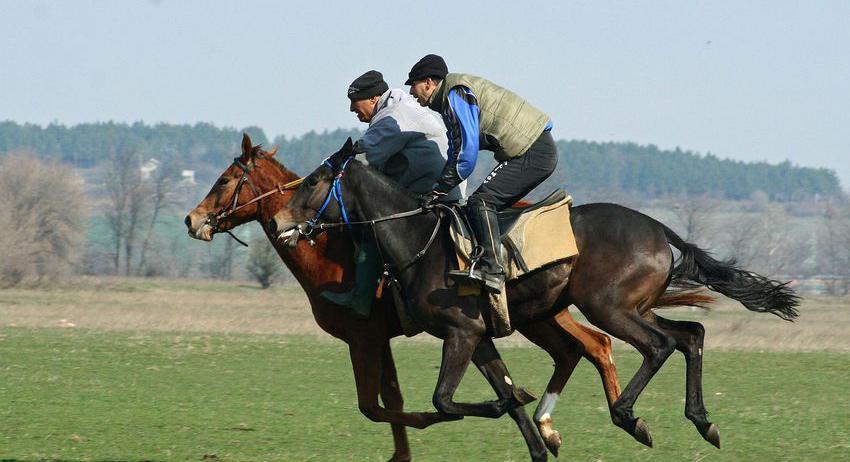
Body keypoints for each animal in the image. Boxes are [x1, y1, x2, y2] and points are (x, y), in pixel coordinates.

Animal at [184, 134, 636, 458]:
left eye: (225, 180)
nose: (191, 220)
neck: (331, 249)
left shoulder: (364, 337)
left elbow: (375, 405)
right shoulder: (379, 338)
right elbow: (389, 399)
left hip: (542, 314)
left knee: (592, 344)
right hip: (538, 316)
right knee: (580, 348)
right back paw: (552, 428)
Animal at [270, 139, 796, 460]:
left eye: (313, 181)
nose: (278, 222)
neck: (419, 239)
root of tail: (660, 229)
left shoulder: (458, 333)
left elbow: (445, 400)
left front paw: (517, 407)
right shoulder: (477, 336)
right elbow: (497, 393)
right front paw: (534, 430)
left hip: (609, 307)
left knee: (659, 345)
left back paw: (630, 416)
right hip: (625, 307)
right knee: (690, 335)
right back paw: (702, 421)